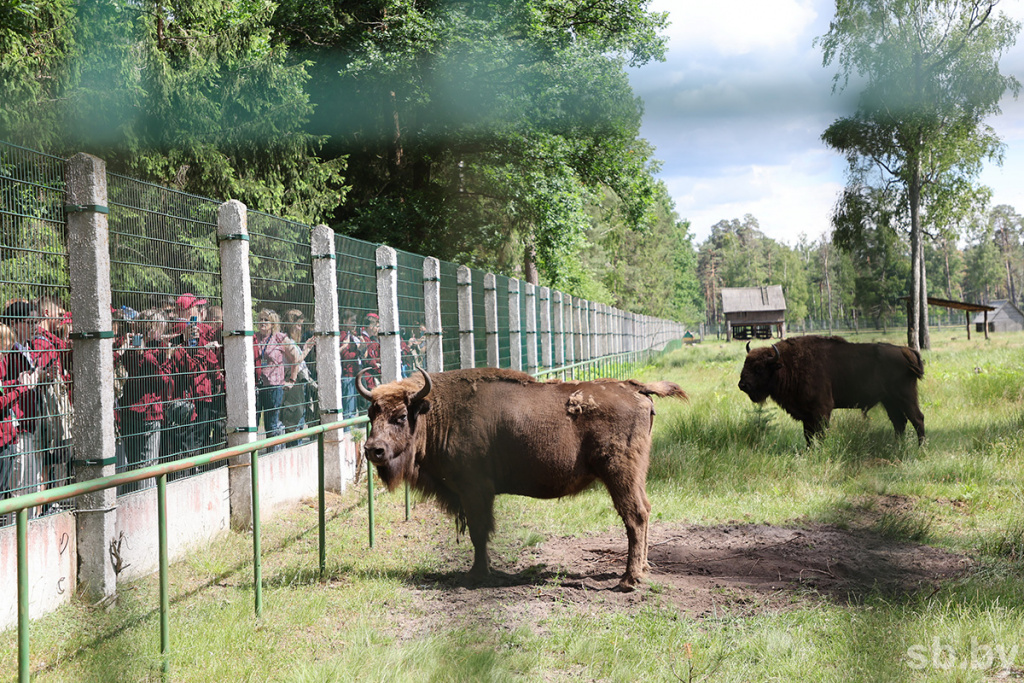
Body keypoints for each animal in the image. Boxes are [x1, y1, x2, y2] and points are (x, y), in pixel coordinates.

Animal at [358, 366, 688, 589]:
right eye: (371, 415)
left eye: (401, 416)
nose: (373, 449)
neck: (438, 411)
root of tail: (635, 388)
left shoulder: (475, 491)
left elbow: (479, 531)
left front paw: (477, 574)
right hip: (635, 475)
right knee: (645, 511)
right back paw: (643, 569)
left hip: (619, 473)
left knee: (634, 516)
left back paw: (628, 580)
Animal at [737, 335, 929, 444]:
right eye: (745, 363)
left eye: (759, 368)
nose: (742, 385)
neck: (785, 364)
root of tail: (905, 351)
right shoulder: (806, 415)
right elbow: (808, 436)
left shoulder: (821, 410)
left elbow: (821, 434)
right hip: (889, 401)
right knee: (899, 422)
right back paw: (898, 447)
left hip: (905, 397)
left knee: (917, 419)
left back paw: (920, 449)